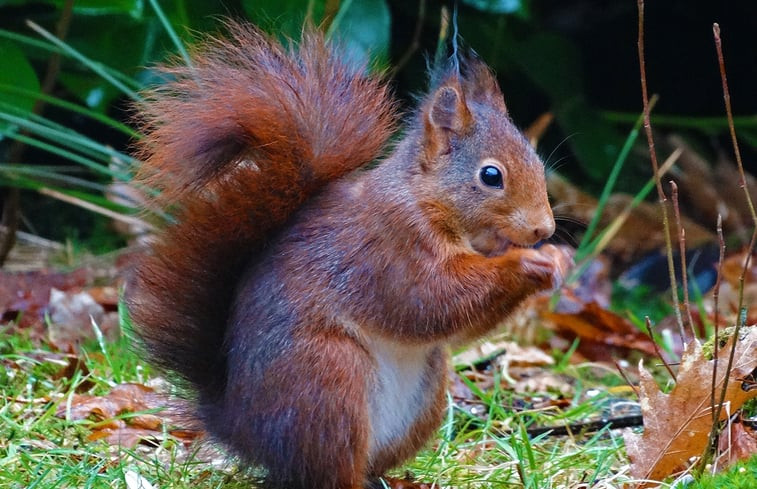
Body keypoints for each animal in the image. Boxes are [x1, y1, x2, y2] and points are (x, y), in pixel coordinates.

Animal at [127, 21, 568, 488]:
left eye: (537, 161)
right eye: (491, 176)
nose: (543, 230)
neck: (424, 197)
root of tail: (240, 428)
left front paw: (558, 259)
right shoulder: (392, 247)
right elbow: (432, 300)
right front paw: (531, 263)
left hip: (423, 391)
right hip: (328, 381)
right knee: (326, 470)